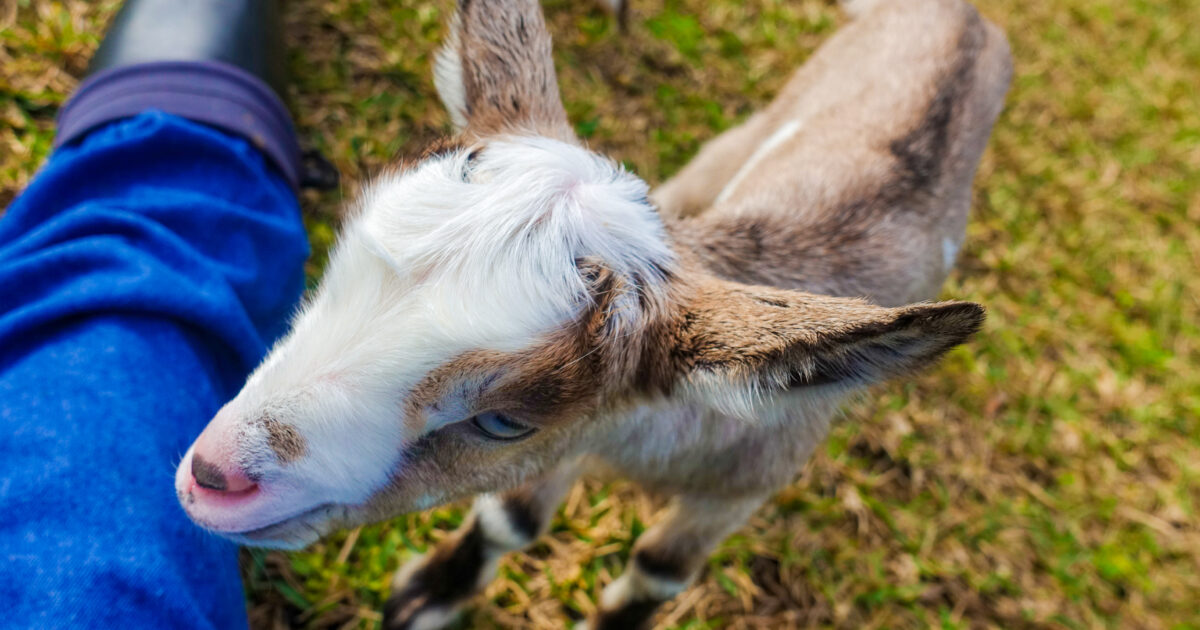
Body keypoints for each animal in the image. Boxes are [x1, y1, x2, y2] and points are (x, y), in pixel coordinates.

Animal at [174, 0, 1008, 624]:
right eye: (334, 266)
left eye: (504, 420)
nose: (211, 475)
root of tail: (966, 14)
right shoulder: (587, 438)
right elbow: (511, 518)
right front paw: (428, 596)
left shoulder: (745, 478)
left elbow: (660, 569)